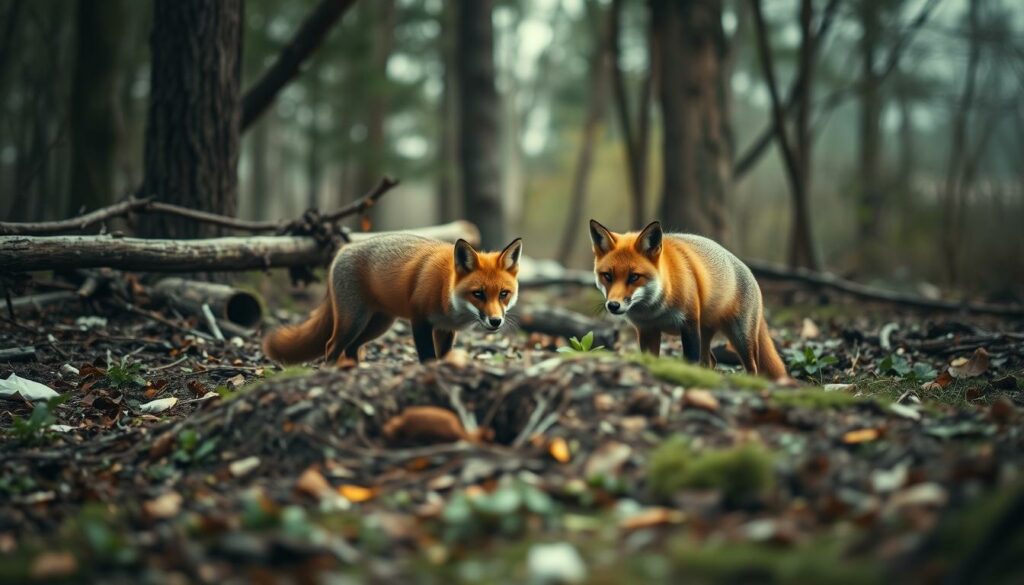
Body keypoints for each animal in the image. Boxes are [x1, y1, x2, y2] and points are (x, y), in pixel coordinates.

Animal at [264, 234, 524, 366]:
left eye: (504, 294)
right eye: (478, 293)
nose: (495, 321)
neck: (445, 289)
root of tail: (343, 250)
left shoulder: (445, 329)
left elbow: (442, 356)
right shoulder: (420, 320)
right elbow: (427, 357)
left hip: (378, 324)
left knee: (351, 348)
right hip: (353, 321)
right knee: (331, 346)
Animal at [589, 219, 786, 379]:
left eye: (634, 277)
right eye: (607, 276)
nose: (613, 305)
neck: (654, 310)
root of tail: (749, 271)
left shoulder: (689, 325)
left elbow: (690, 361)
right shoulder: (647, 330)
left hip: (740, 338)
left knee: (753, 368)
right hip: (706, 333)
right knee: (710, 361)